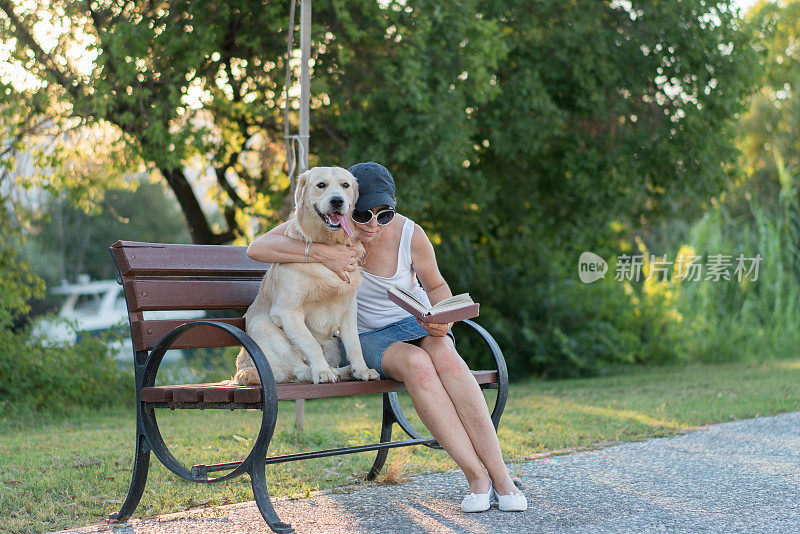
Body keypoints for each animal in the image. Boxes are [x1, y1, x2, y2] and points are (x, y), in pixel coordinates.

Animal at [233, 166, 380, 386]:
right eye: (321, 185)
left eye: (345, 185)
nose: (337, 200)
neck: (329, 244)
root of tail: (243, 366)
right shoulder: (287, 312)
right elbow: (311, 344)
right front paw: (322, 372)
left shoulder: (348, 308)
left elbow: (354, 343)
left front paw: (361, 369)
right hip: (266, 329)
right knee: (300, 370)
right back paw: (326, 371)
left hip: (332, 344)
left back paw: (345, 371)